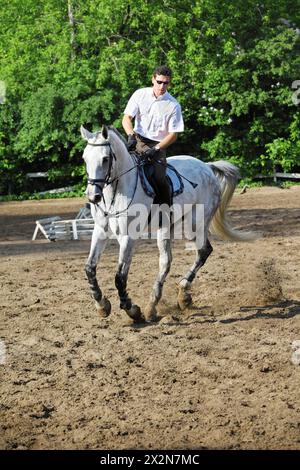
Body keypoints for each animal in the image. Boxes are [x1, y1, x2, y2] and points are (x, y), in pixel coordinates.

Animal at [80, 125, 253, 324]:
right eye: (85, 158)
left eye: (105, 159)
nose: (93, 196)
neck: (116, 193)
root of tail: (207, 167)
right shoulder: (101, 231)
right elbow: (90, 268)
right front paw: (101, 305)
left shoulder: (129, 236)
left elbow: (120, 277)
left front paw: (132, 310)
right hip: (166, 227)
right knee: (166, 262)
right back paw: (155, 304)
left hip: (194, 224)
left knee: (203, 251)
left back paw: (181, 295)